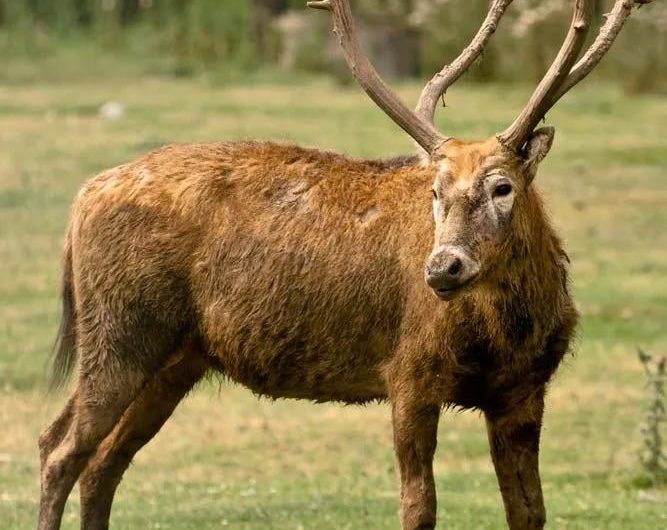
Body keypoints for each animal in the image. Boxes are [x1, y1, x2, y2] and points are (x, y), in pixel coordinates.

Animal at [37, 1, 651, 529]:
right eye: (435, 190)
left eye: (503, 187)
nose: (442, 269)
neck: (504, 336)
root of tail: (81, 198)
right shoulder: (408, 373)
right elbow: (418, 508)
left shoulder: (525, 390)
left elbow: (530, 512)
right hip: (119, 329)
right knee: (58, 449)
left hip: (176, 358)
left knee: (102, 464)